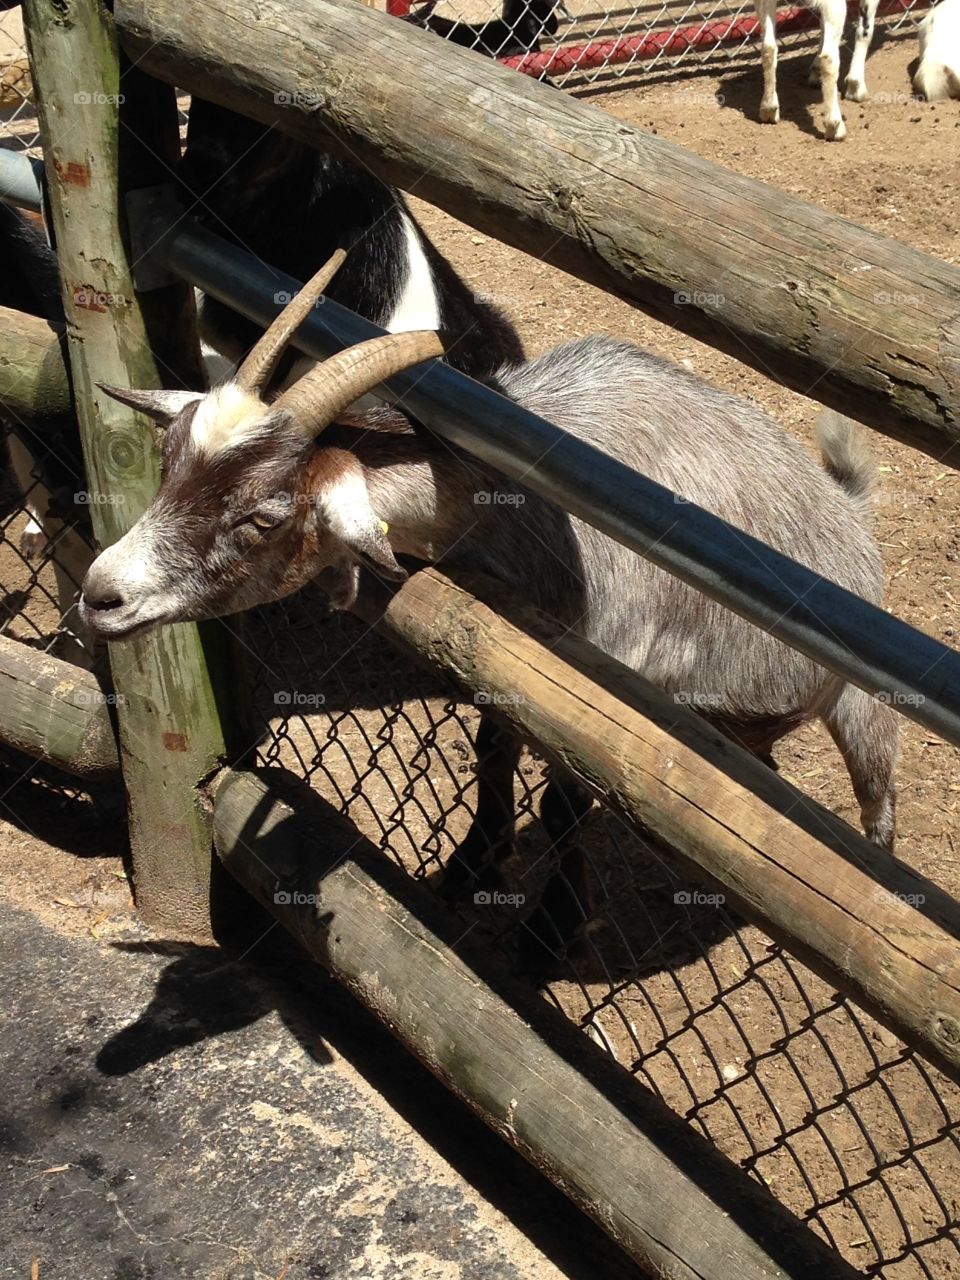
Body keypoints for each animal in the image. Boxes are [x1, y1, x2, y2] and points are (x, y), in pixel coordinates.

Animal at [79, 253, 898, 957]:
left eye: (263, 516)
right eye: (169, 465)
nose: (100, 595)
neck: (531, 498)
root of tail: (850, 513)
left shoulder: (600, 692)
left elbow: (565, 805)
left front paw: (550, 928)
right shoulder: (508, 651)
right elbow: (493, 745)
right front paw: (475, 863)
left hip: (864, 711)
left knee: (878, 824)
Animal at [756, 0, 880, 140]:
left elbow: (822, 26)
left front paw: (816, 72)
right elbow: (864, 33)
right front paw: (856, 87)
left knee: (768, 47)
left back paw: (768, 109)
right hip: (834, 5)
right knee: (828, 58)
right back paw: (834, 126)